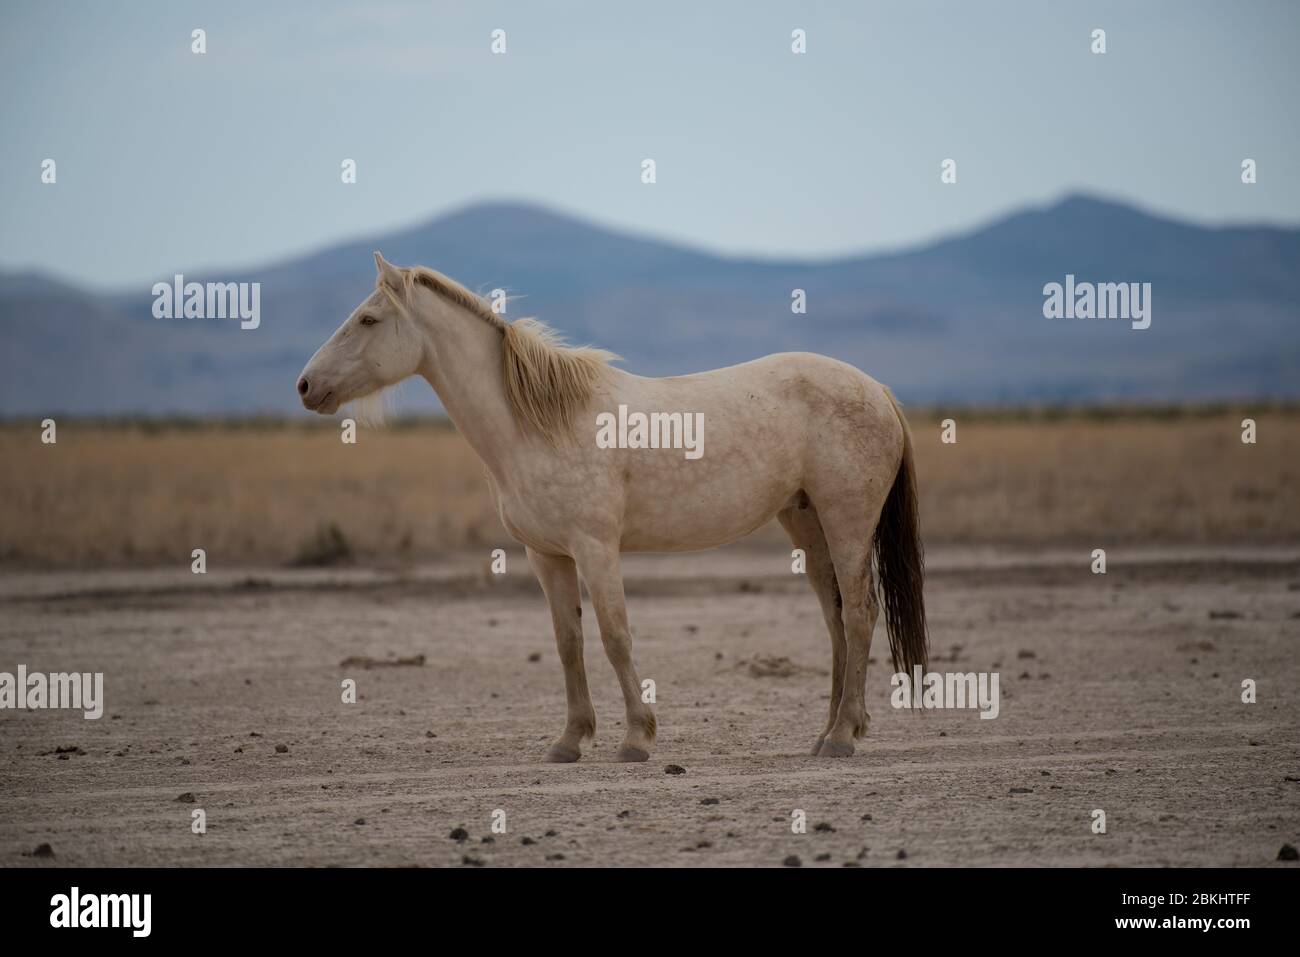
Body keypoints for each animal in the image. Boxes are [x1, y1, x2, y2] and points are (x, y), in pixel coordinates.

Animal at [297, 253, 929, 762]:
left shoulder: (596, 547)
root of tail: (877, 391)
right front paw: (570, 741)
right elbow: (568, 642)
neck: (538, 424)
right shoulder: (547, 556)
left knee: (860, 614)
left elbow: (614, 635)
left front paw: (636, 739)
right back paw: (826, 734)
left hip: (847, 522)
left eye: (368, 320)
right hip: (807, 524)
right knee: (835, 620)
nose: (305, 386)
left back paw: (844, 736)